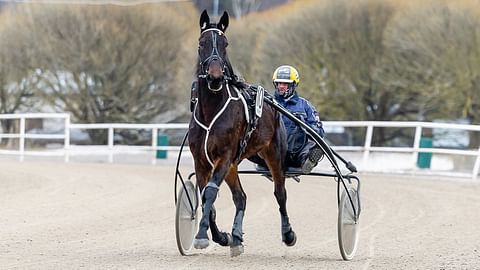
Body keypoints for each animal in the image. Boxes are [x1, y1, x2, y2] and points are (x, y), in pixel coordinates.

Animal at [188, 9, 296, 256]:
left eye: (225, 44)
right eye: (201, 43)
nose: (215, 77)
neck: (211, 109)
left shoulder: (224, 156)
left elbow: (210, 193)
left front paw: (202, 236)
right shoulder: (201, 161)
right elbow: (205, 197)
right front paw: (222, 236)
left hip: (273, 154)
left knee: (280, 193)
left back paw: (288, 234)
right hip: (233, 165)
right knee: (241, 197)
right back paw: (236, 237)